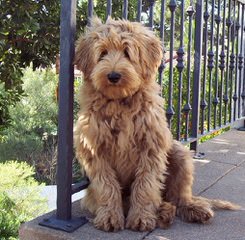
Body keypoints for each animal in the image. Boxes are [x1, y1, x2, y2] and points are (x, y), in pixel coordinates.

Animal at [73, 17, 239, 232]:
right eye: (102, 53)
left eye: (127, 52)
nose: (113, 76)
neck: (119, 103)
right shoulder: (94, 150)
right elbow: (106, 185)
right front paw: (109, 217)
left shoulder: (151, 146)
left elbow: (146, 184)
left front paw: (141, 217)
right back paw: (162, 212)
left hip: (180, 155)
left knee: (178, 197)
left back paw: (189, 209)